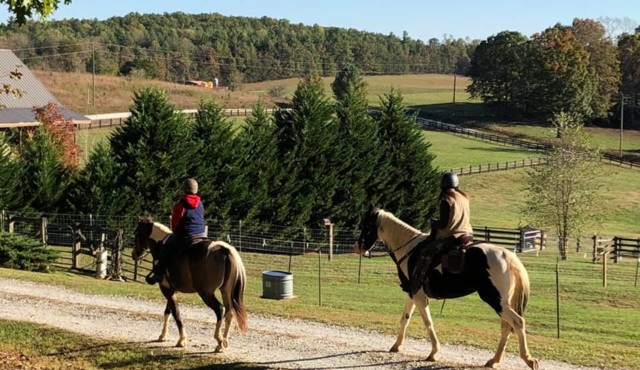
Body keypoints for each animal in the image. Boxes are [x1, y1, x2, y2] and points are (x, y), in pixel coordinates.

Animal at [132, 217, 248, 352]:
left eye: (136, 233)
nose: (134, 254)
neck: (161, 246)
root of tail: (224, 250)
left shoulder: (166, 289)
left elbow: (176, 313)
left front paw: (181, 340)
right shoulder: (171, 289)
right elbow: (168, 311)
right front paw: (163, 336)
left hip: (206, 293)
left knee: (220, 309)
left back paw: (219, 340)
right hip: (226, 291)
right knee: (229, 313)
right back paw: (223, 343)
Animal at [352, 208, 536, 370]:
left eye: (366, 225)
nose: (357, 247)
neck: (409, 249)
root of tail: (509, 256)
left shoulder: (419, 295)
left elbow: (427, 321)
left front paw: (433, 353)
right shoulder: (412, 292)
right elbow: (405, 318)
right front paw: (396, 346)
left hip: (496, 300)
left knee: (517, 322)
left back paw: (528, 360)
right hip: (502, 302)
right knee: (506, 327)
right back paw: (494, 361)